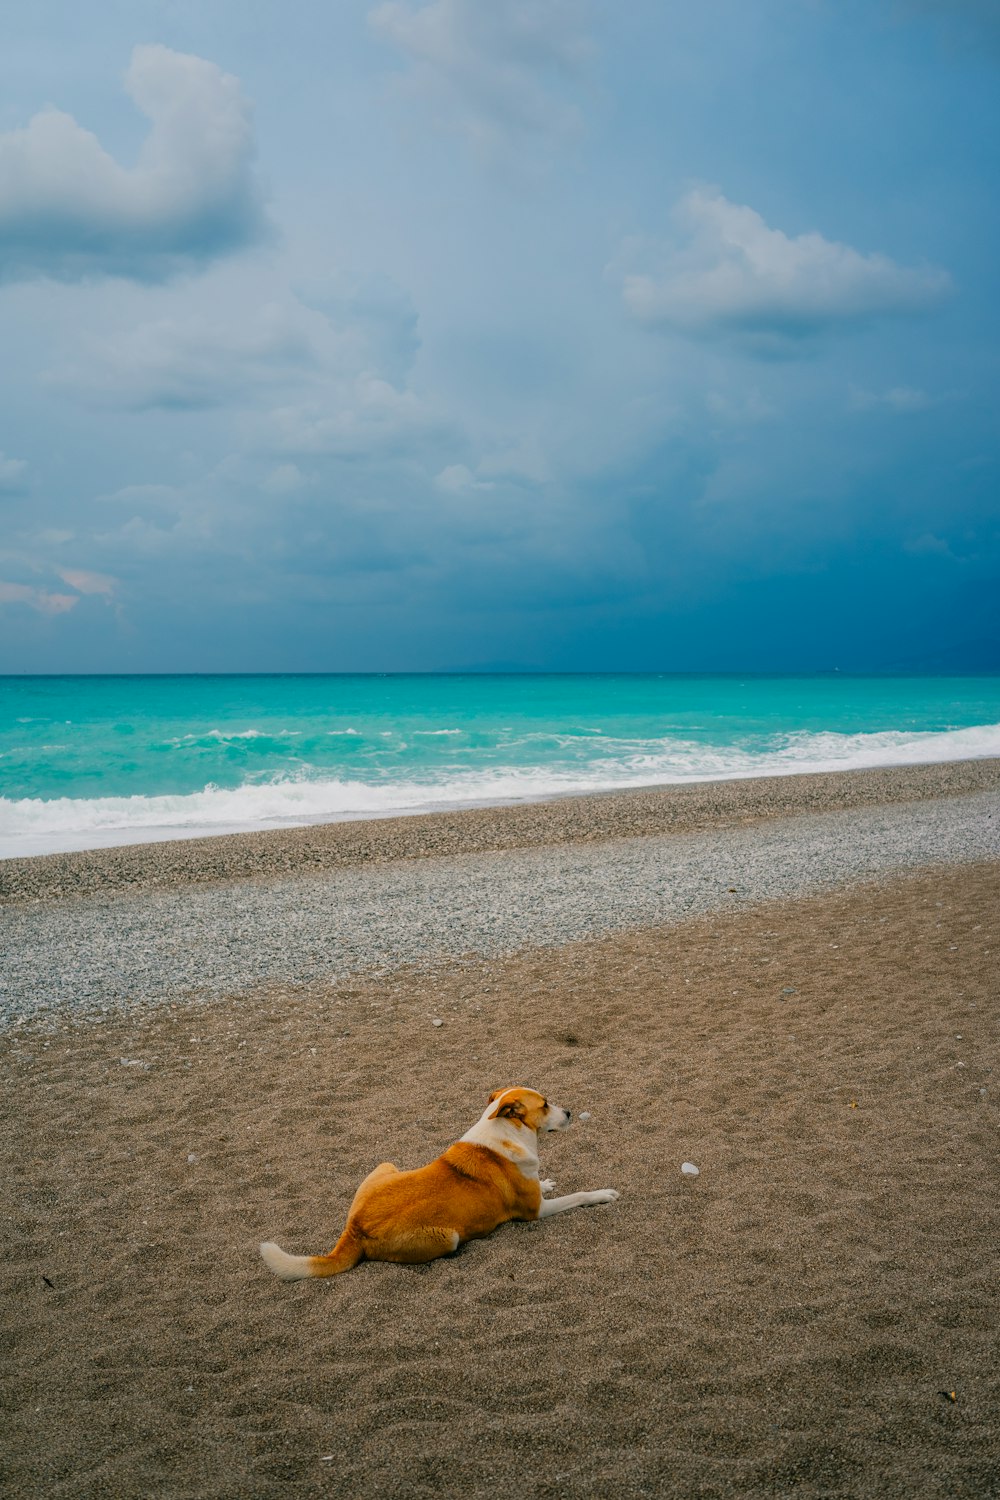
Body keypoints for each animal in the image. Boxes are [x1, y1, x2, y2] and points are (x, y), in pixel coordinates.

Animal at [257, 1086, 617, 1284]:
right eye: (544, 1104)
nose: (569, 1112)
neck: (507, 1131)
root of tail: (354, 1229)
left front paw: (547, 1182)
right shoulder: (535, 1212)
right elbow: (579, 1195)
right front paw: (602, 1194)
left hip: (386, 1164)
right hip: (449, 1237)